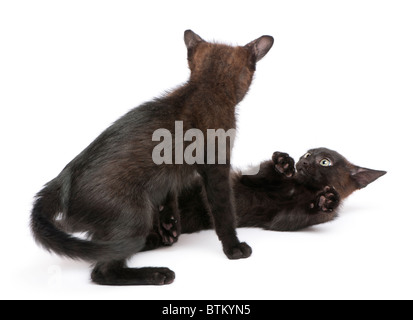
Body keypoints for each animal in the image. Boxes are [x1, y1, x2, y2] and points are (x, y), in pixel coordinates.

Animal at [143, 148, 384, 250]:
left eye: (324, 162)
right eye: (307, 154)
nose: (303, 161)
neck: (298, 188)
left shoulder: (283, 220)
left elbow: (298, 216)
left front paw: (326, 201)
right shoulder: (249, 178)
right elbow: (264, 172)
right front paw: (282, 163)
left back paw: (163, 233)